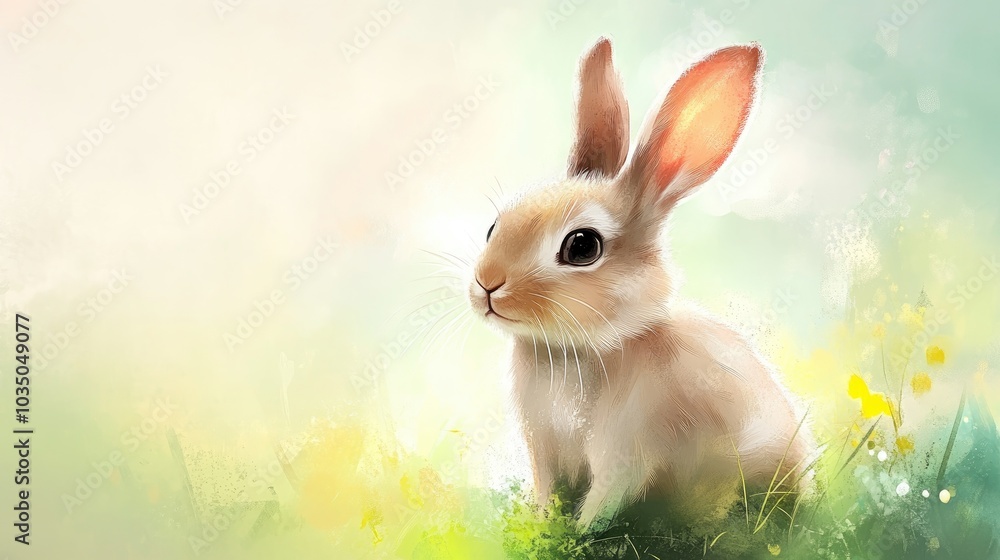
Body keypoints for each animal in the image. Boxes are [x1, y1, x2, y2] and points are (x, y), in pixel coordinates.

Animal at [466, 37, 816, 529]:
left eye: (582, 247)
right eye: (494, 227)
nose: (487, 284)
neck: (574, 349)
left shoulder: (627, 451)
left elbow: (603, 500)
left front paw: (578, 532)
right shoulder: (543, 449)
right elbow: (547, 490)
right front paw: (543, 524)